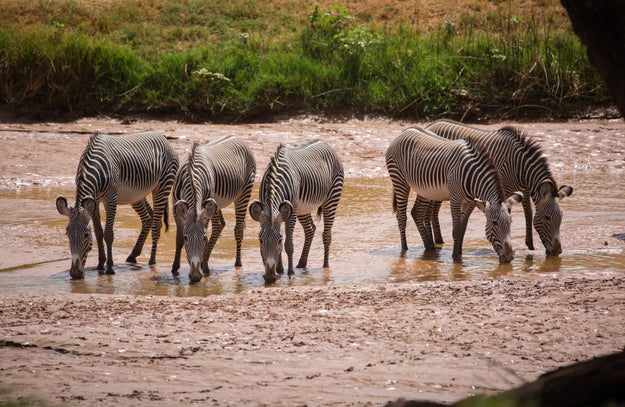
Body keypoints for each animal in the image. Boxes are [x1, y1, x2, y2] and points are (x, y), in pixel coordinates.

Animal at [54, 132, 179, 278]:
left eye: (85, 235)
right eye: (67, 234)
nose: (75, 273)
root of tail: (163, 137)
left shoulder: (111, 199)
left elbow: (108, 234)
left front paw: (109, 267)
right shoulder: (94, 201)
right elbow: (98, 232)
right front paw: (100, 264)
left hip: (163, 186)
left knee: (156, 224)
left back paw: (152, 261)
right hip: (136, 195)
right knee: (149, 219)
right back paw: (133, 255)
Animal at [169, 137, 255, 284]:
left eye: (204, 238)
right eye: (186, 238)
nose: (196, 276)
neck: (191, 176)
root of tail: (238, 138)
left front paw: (203, 266)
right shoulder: (176, 207)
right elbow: (178, 238)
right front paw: (175, 268)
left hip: (244, 192)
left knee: (237, 229)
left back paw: (235, 263)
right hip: (216, 204)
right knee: (220, 225)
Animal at [249, 140, 344, 284]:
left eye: (279, 240)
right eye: (260, 240)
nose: (270, 277)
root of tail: (326, 144)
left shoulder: (291, 213)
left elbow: (289, 245)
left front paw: (290, 273)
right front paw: (280, 271)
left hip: (332, 198)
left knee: (326, 235)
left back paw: (325, 267)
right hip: (302, 209)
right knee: (310, 229)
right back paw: (302, 263)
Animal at [386, 126, 520, 262]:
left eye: (511, 222)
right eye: (494, 223)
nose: (509, 256)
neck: (472, 176)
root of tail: (405, 131)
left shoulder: (469, 201)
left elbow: (462, 229)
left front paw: (460, 254)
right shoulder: (455, 198)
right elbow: (456, 230)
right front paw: (455, 258)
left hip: (424, 189)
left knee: (417, 212)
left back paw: (429, 247)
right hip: (399, 179)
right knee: (402, 216)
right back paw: (405, 249)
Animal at [422, 119, 572, 256]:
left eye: (561, 217)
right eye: (547, 218)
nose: (557, 252)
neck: (519, 165)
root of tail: (432, 124)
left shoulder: (524, 190)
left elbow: (529, 213)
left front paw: (530, 245)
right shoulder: (506, 190)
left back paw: (439, 241)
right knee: (433, 209)